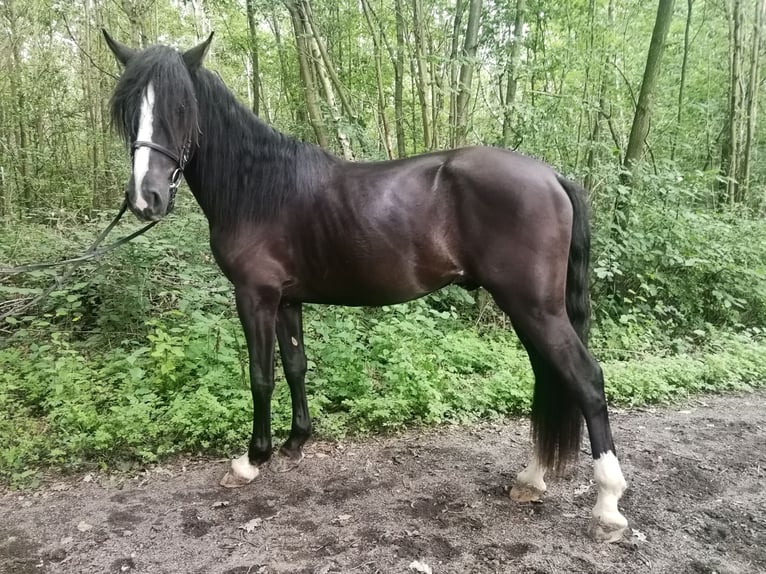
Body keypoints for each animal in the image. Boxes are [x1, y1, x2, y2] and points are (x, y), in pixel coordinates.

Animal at [103, 32, 632, 544]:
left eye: (181, 108)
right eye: (127, 109)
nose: (146, 198)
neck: (258, 188)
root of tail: (553, 176)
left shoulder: (255, 297)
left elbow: (260, 376)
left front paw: (252, 460)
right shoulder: (287, 299)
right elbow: (295, 367)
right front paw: (296, 443)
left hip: (534, 307)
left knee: (585, 378)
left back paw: (607, 506)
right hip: (526, 308)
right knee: (550, 376)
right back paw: (532, 478)